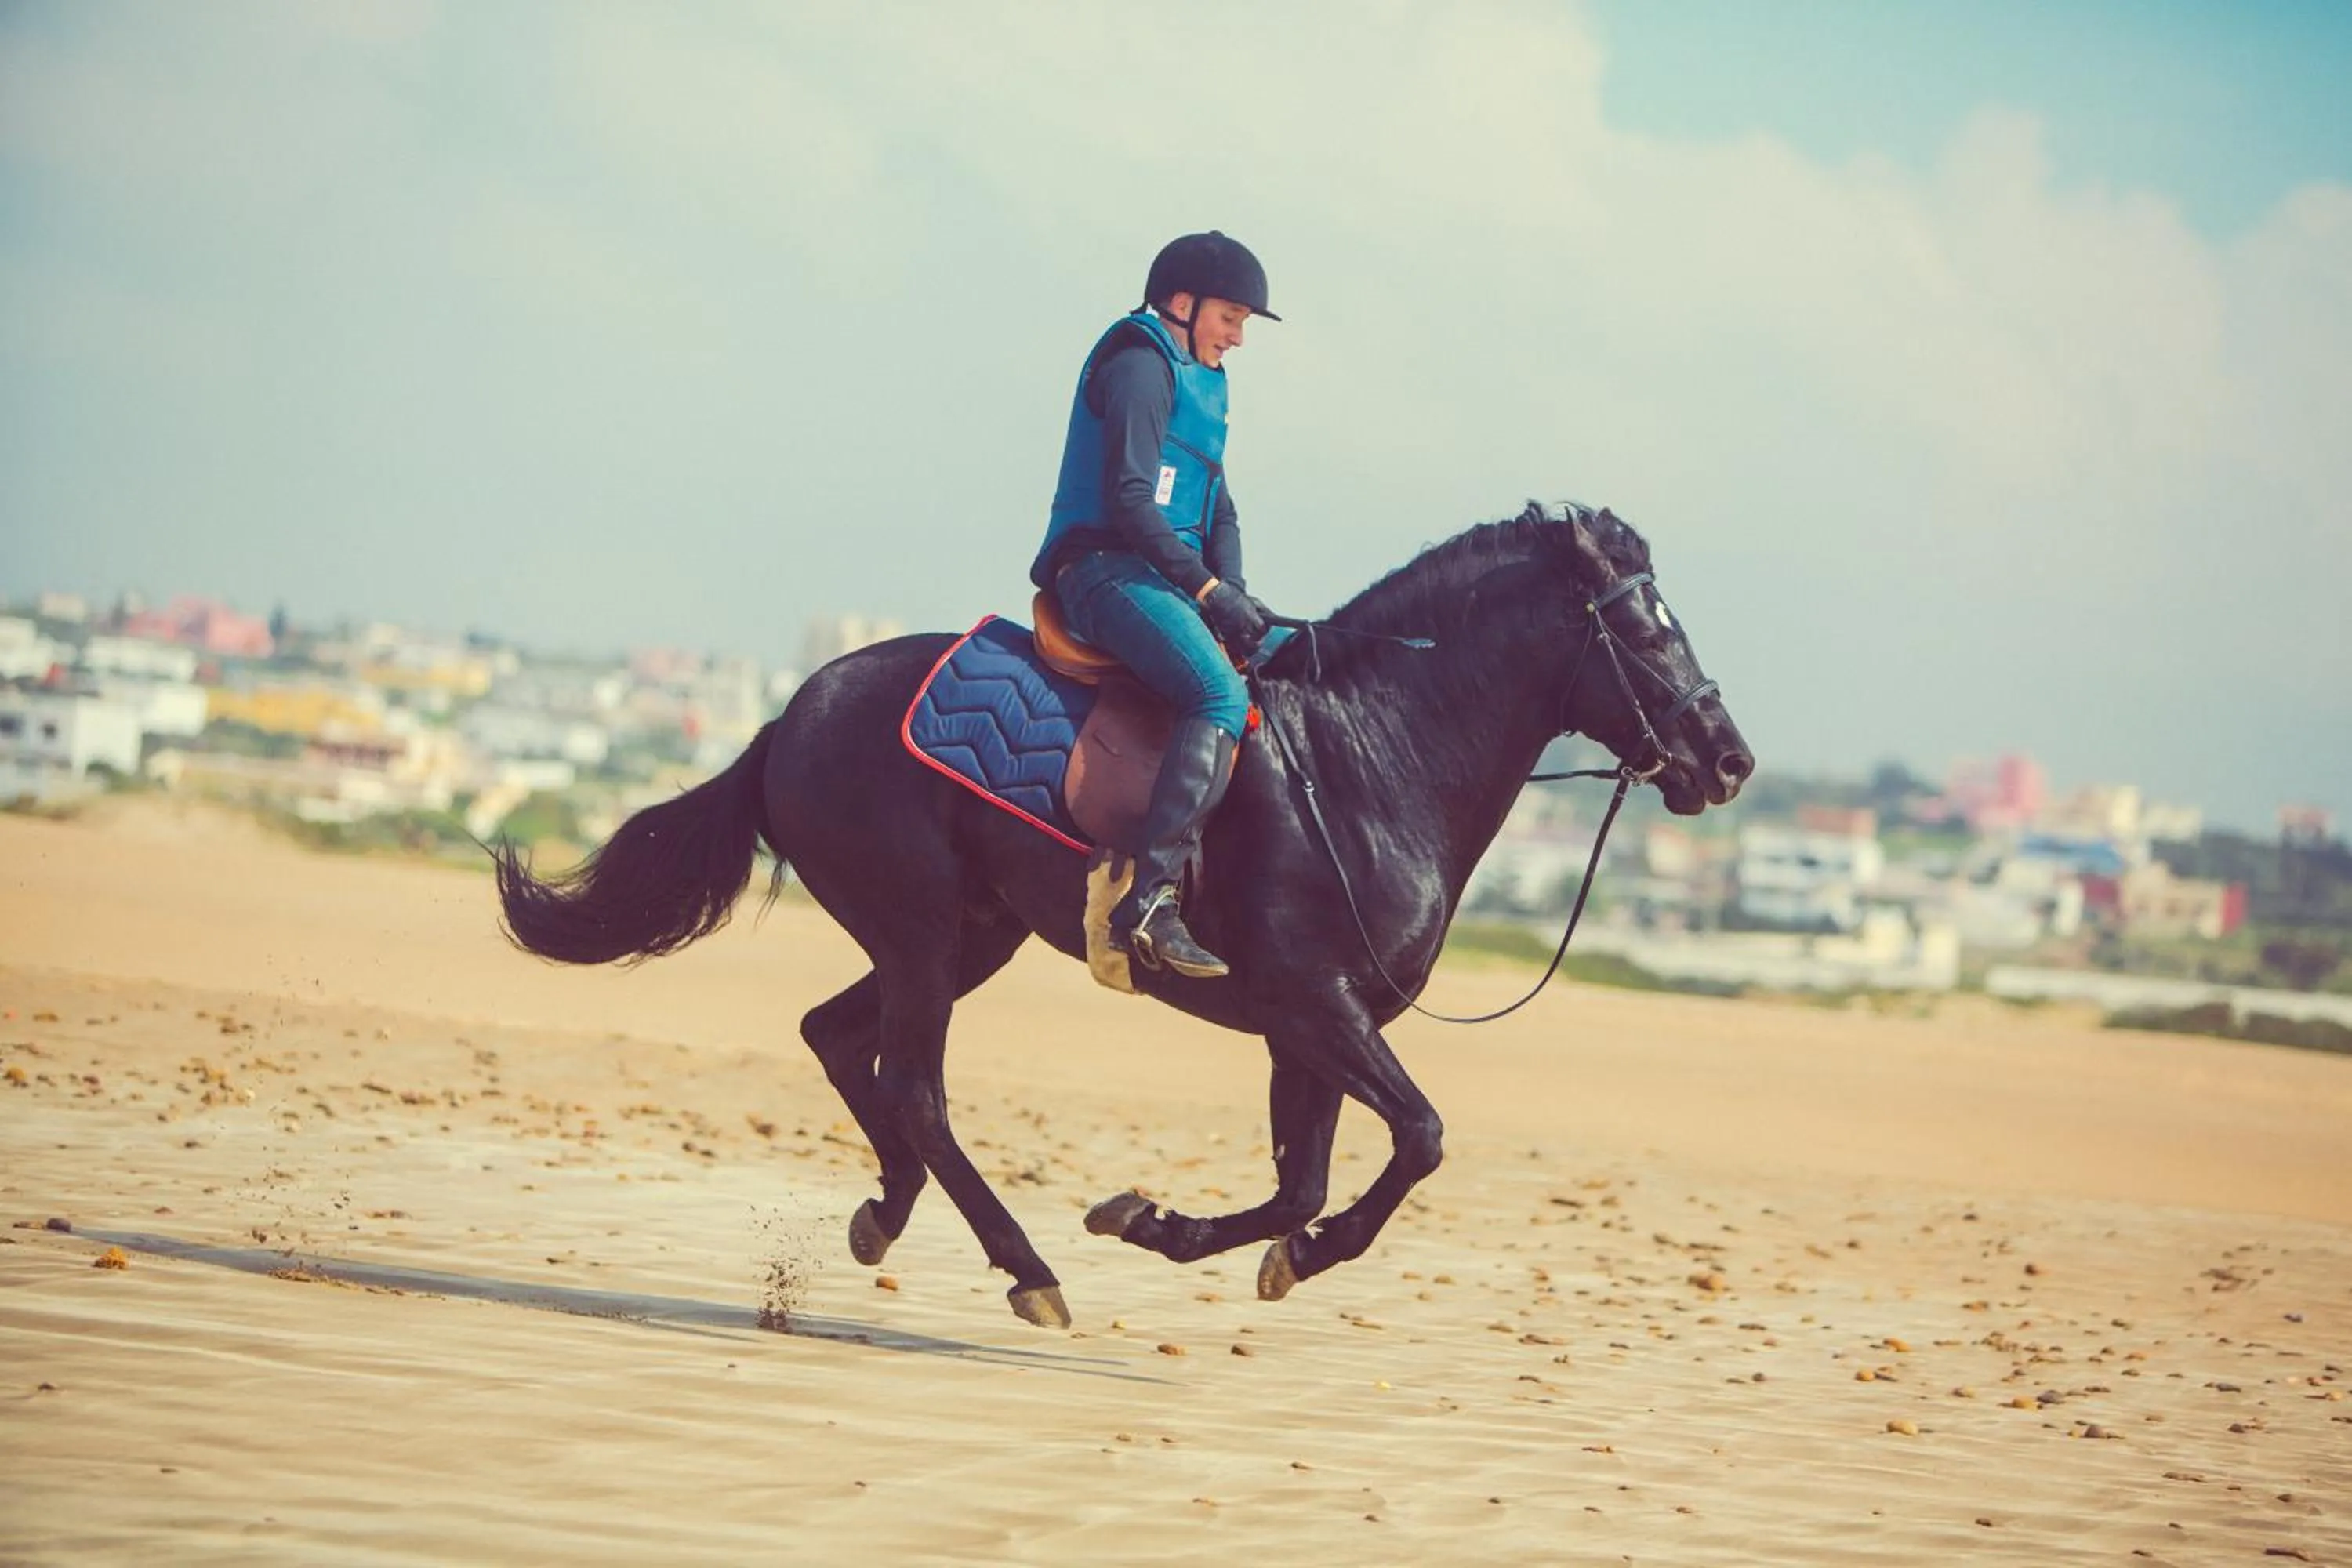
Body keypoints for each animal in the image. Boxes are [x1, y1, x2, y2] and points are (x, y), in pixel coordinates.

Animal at [493, 501, 1752, 1328]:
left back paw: (887, 1215)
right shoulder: (1317, 1004)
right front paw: (1243, 1243)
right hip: (921, 935)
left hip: (967, 937)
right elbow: (1421, 1138)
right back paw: (1026, 1267)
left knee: (839, 1041)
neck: (1367, 756)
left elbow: (1306, 1180)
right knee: (913, 1087)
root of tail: (788, 714)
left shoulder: (1310, 1026)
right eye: (1646, 627)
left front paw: (1176, 1228)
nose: (1730, 759)